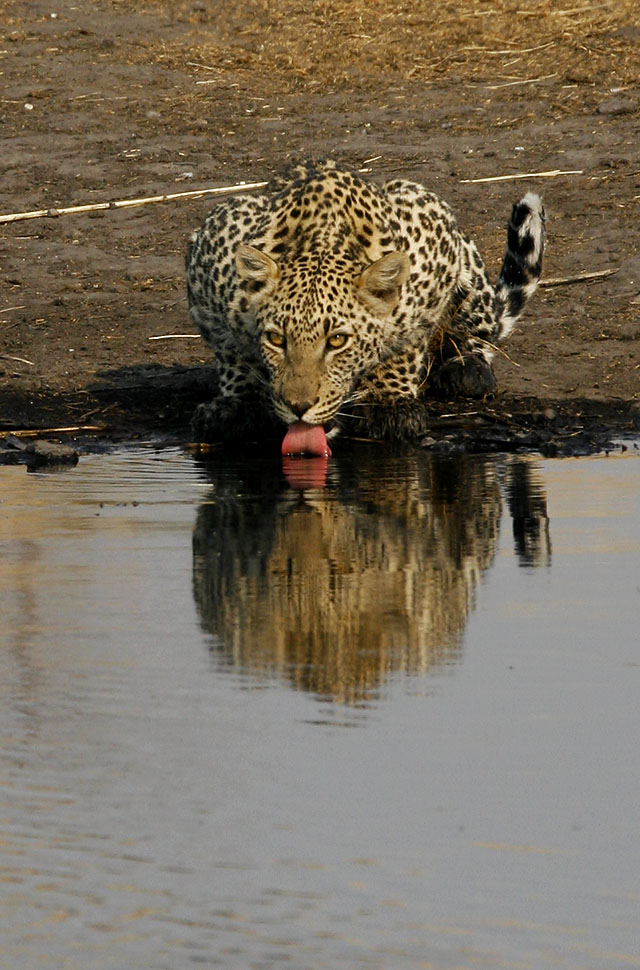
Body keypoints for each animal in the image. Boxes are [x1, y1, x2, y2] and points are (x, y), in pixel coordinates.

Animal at [186, 158, 545, 452]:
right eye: (276, 339)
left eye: (337, 341)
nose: (299, 406)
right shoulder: (209, 251)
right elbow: (231, 349)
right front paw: (239, 402)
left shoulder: (432, 229)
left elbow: (407, 342)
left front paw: (389, 401)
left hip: (469, 274)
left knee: (482, 330)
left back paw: (467, 366)